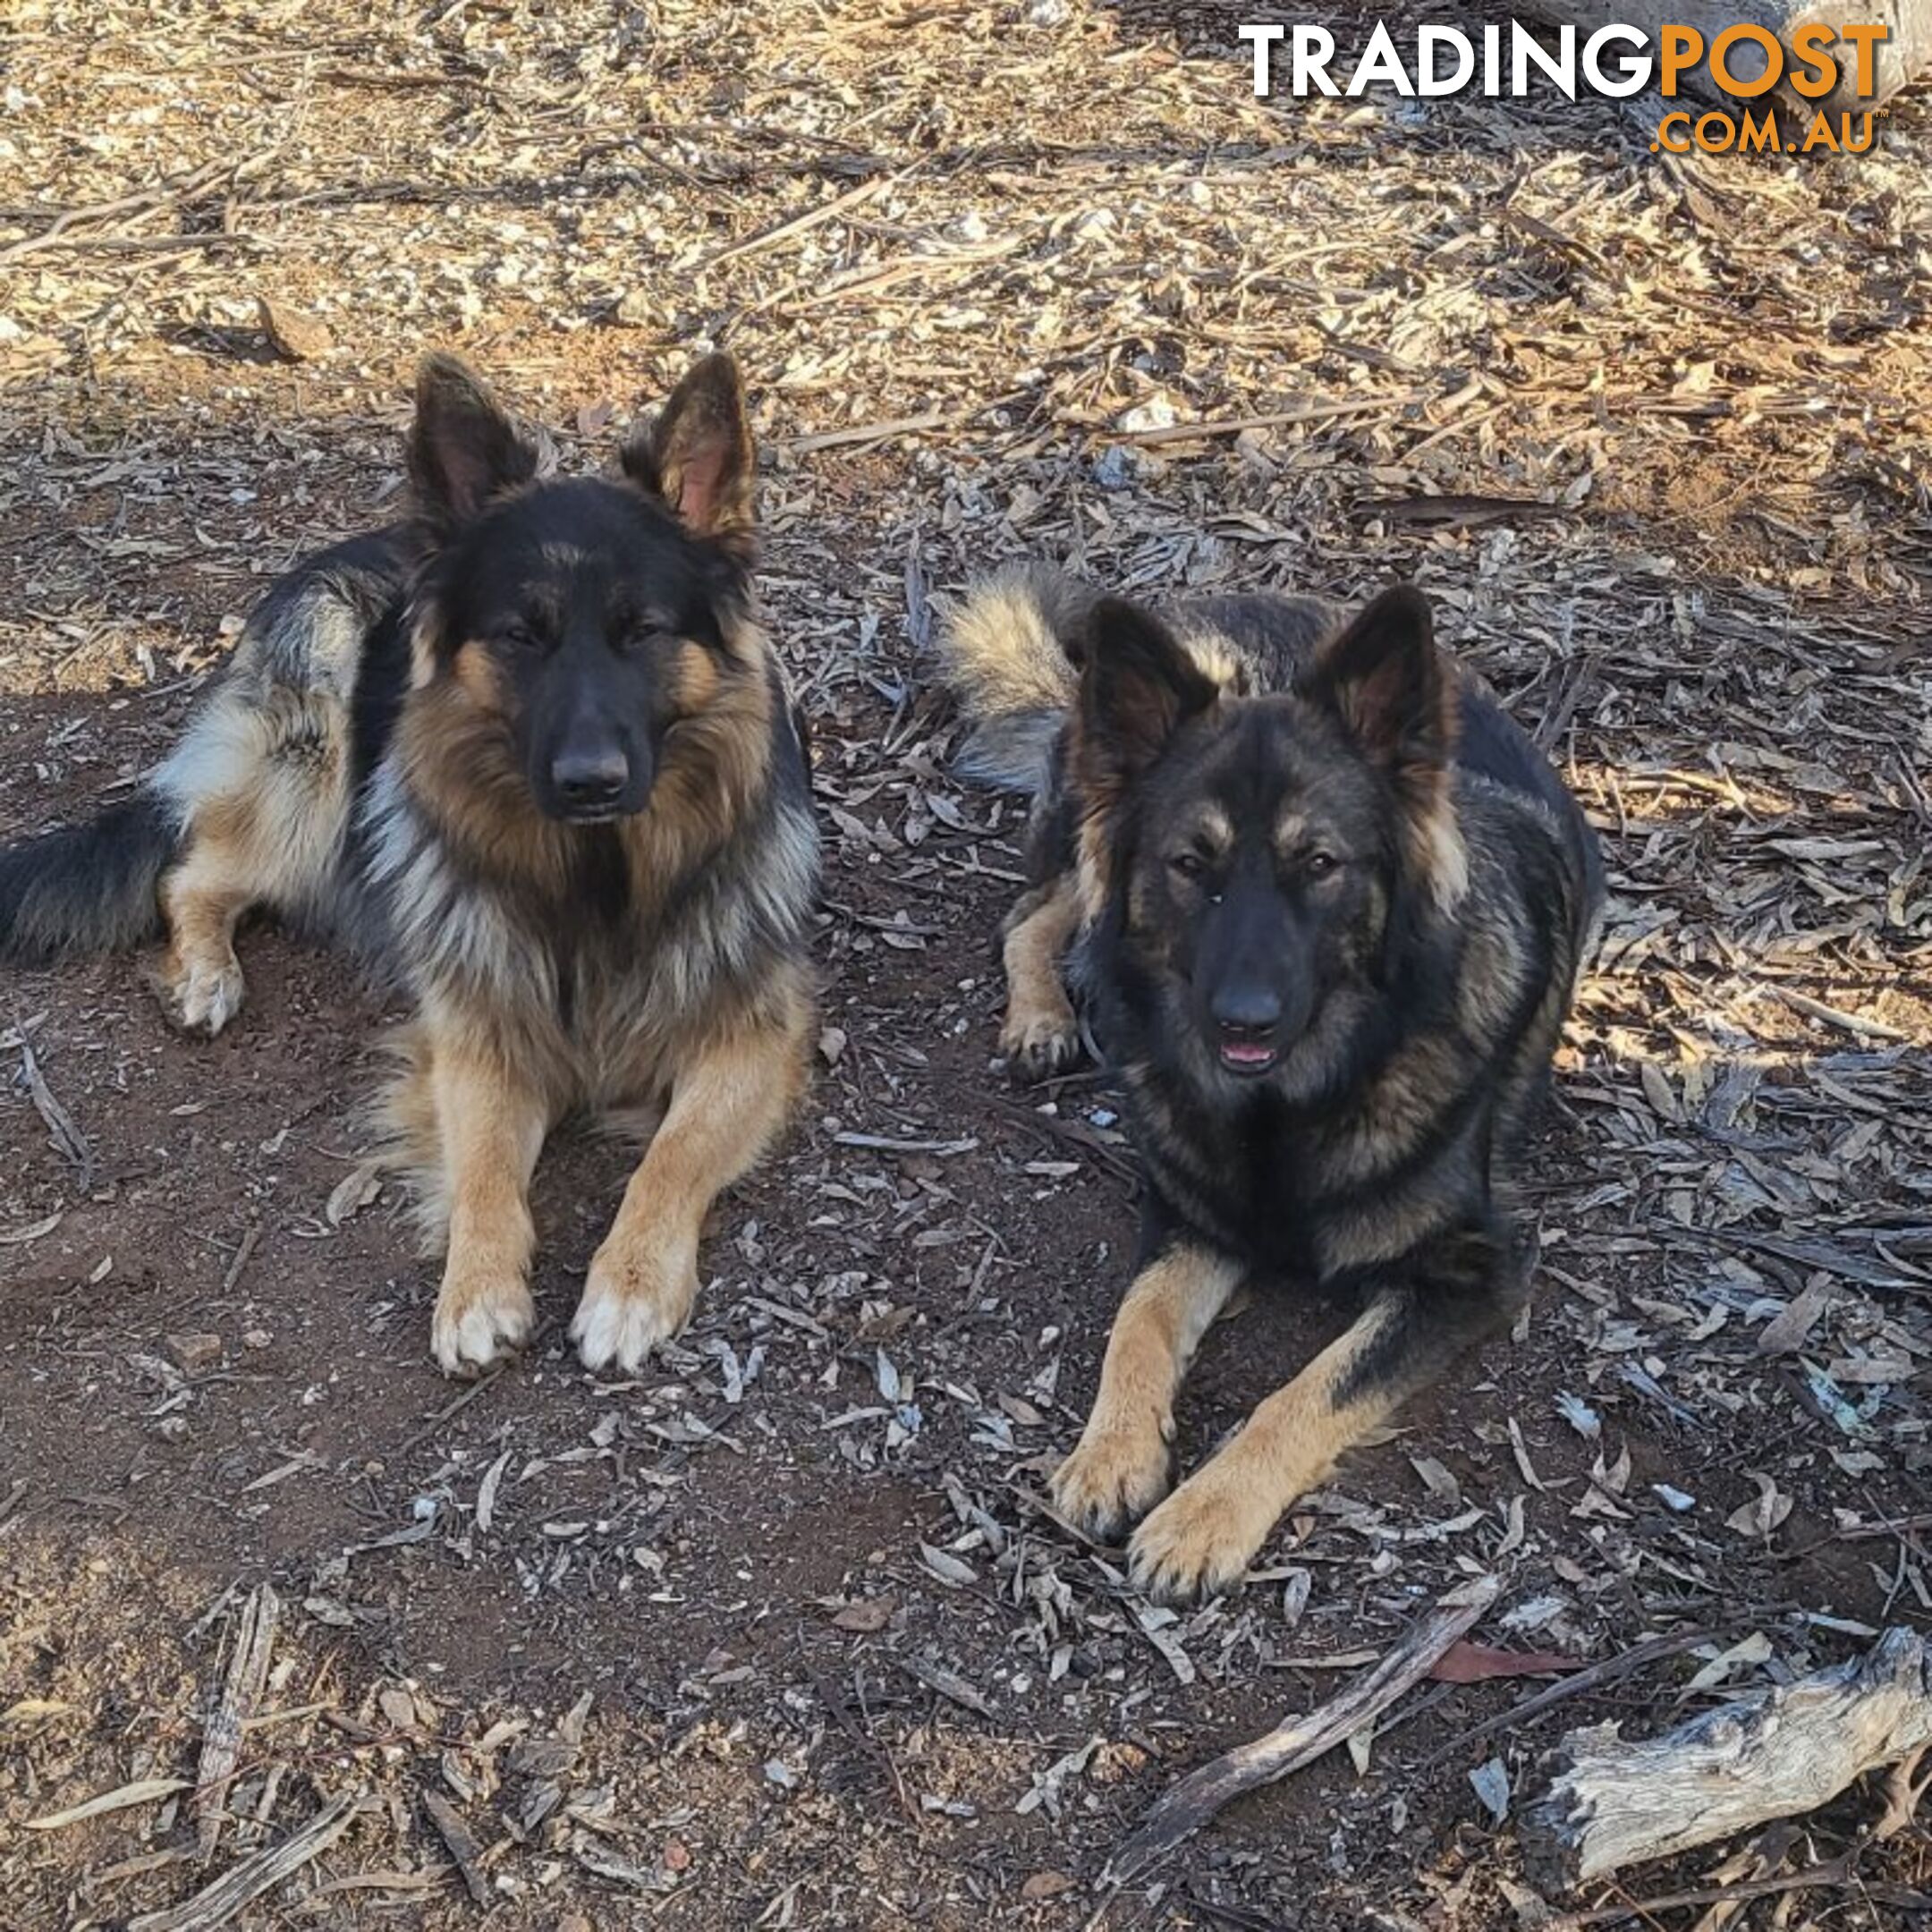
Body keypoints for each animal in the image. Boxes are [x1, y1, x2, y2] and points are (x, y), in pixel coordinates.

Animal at [0, 347, 818, 1375]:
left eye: (645, 631)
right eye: (519, 635)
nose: (590, 782)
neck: (594, 878)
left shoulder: (751, 1038)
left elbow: (672, 1156)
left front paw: (628, 1285)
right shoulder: (475, 1038)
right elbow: (483, 1168)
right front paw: (475, 1289)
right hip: (318, 768)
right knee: (189, 871)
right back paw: (206, 976)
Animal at [938, 564, 1599, 1607]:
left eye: (1319, 865)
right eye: (1190, 865)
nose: (1241, 1021)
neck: (1287, 1112)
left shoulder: (1473, 1270)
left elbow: (1306, 1390)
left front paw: (1203, 1517)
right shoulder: (1189, 1218)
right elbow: (1138, 1323)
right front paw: (1109, 1453)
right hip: (1089, 840)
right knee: (1038, 913)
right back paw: (1042, 1015)